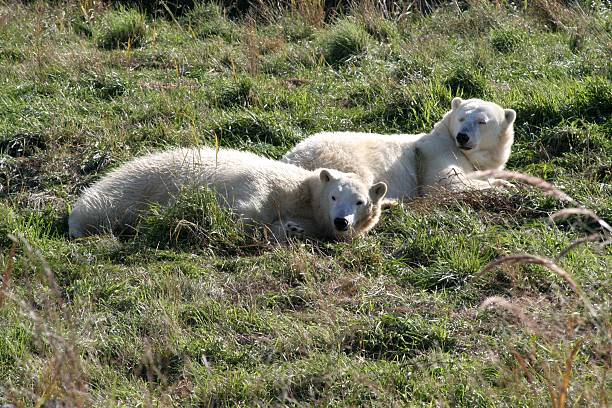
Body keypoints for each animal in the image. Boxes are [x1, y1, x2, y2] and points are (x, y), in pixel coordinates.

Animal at [282, 99, 516, 201]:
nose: (462, 136)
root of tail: (292, 158)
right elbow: (445, 184)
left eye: (482, 121)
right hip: (339, 157)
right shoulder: (435, 154)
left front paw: (503, 181)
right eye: (461, 118)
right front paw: (504, 187)